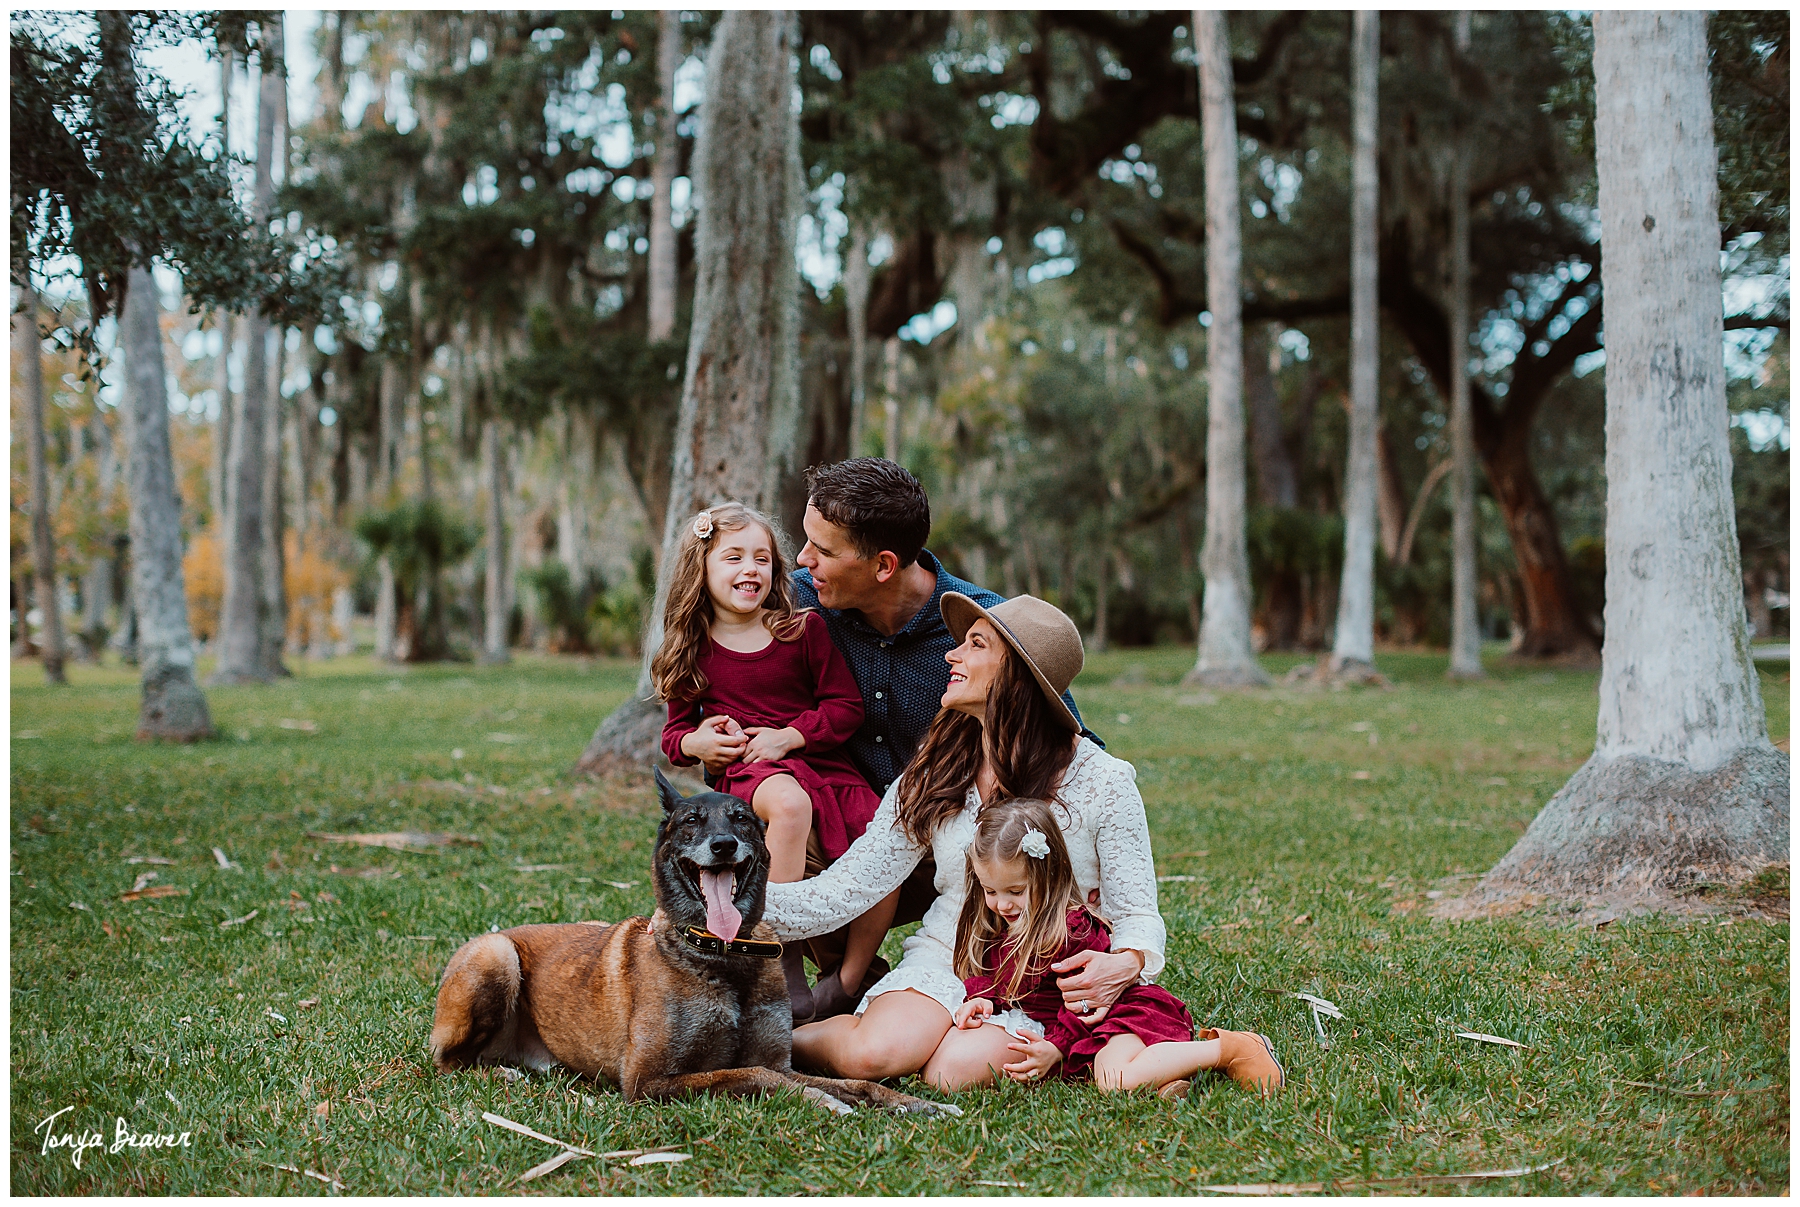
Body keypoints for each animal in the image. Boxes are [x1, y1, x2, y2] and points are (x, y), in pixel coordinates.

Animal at [430, 769, 957, 1122]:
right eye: (691, 821)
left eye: (741, 819)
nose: (723, 845)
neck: (723, 954)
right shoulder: (647, 1082)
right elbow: (758, 1077)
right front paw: (820, 1101)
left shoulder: (776, 1058)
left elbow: (854, 1081)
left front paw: (910, 1102)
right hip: (496, 956)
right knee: (448, 1063)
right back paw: (500, 1074)